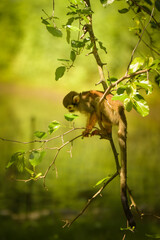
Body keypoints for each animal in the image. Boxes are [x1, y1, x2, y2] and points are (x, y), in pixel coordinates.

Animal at [63, 90, 136, 229]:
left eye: (69, 107)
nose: (70, 111)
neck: (80, 102)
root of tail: (121, 112)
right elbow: (90, 115)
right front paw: (88, 129)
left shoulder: (85, 105)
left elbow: (92, 112)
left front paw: (87, 130)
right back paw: (106, 131)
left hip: (111, 115)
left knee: (98, 103)